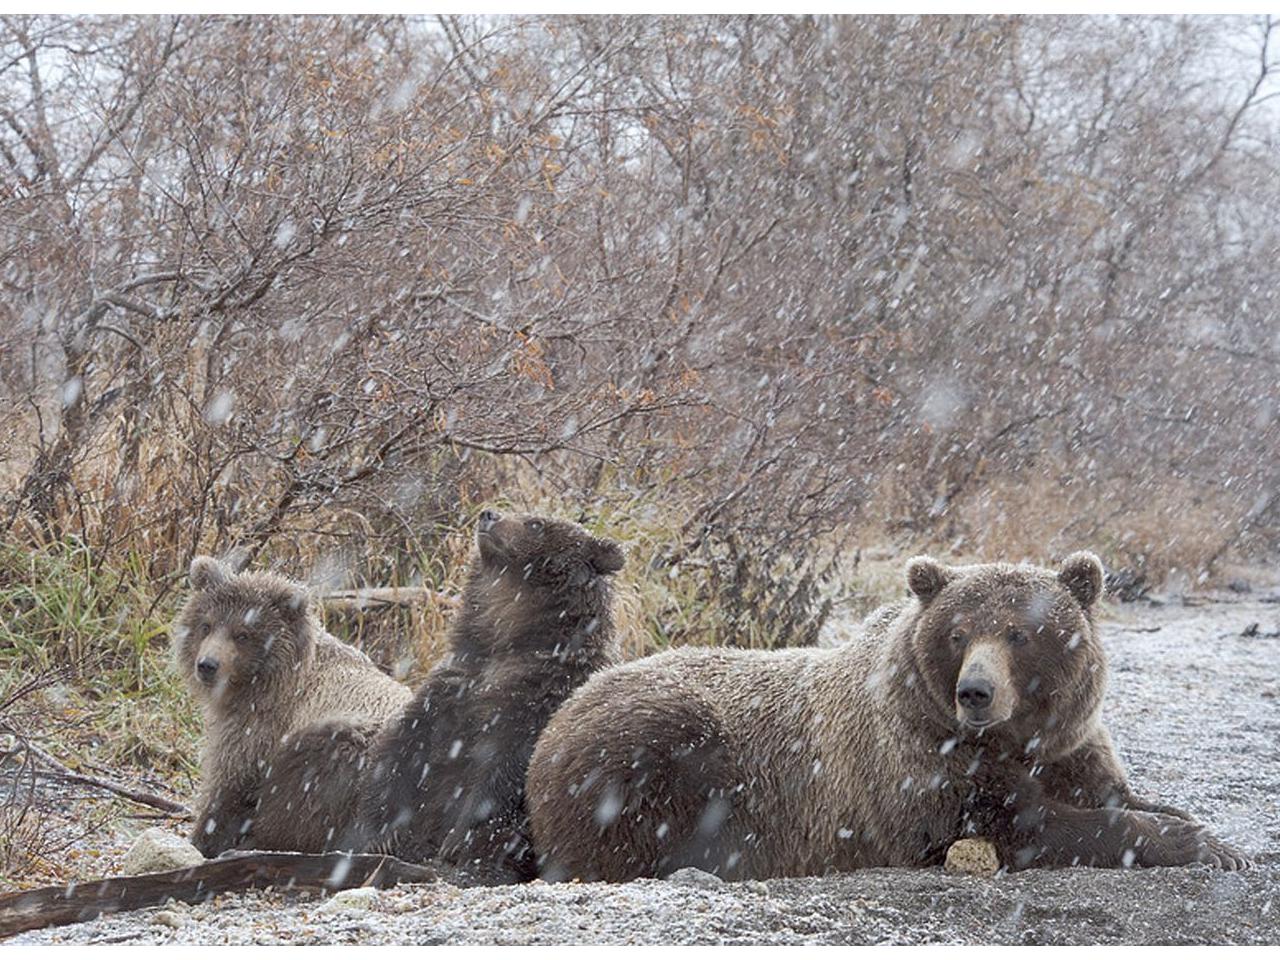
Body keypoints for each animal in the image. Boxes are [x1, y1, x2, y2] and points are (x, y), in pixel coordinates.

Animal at [355, 512, 624, 885]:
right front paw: (384, 834)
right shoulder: (456, 684)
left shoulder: (539, 695)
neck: (509, 640)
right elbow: (402, 749)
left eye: (536, 523)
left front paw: (458, 842)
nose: (488, 515)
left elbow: (503, 769)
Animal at [522, 552, 1249, 885]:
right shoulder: (921, 768)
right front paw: (1191, 843)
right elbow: (1029, 823)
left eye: (1019, 632)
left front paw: (1210, 835)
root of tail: (557, 720)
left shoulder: (1071, 742)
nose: (975, 692)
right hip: (651, 750)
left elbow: (1114, 790)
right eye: (959, 633)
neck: (1011, 739)